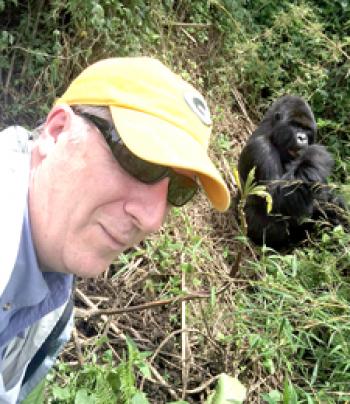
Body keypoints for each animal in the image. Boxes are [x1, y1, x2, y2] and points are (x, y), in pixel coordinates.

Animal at [238, 95, 348, 249]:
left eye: (306, 129)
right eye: (295, 125)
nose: (302, 138)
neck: (269, 132)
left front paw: (337, 205)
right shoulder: (261, 148)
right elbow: (273, 200)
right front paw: (315, 156)